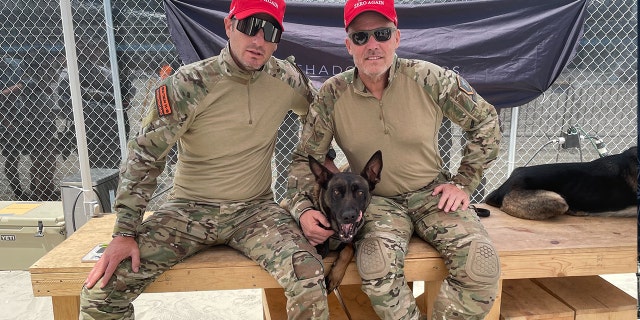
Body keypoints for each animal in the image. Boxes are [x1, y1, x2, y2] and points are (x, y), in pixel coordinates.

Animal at [308, 150, 382, 292]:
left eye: (360, 192)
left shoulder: (350, 241)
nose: (349, 216)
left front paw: (335, 275)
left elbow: (348, 250)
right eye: (336, 192)